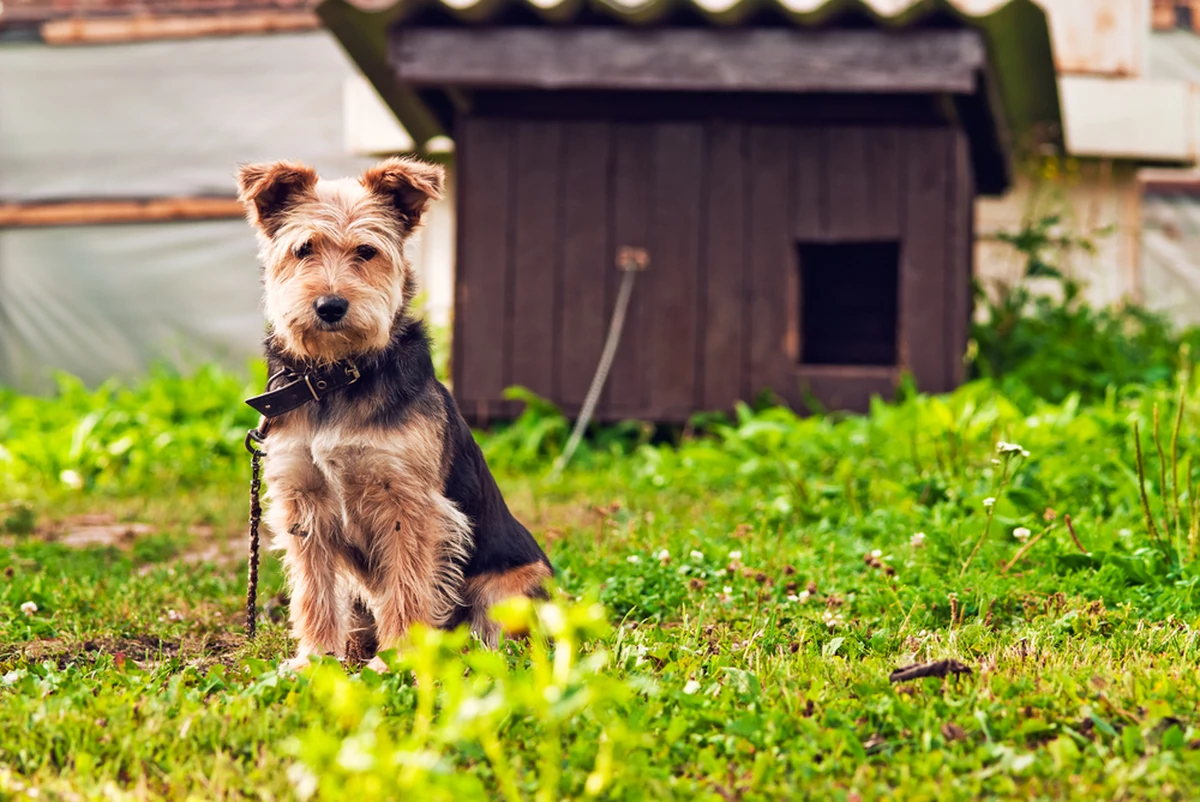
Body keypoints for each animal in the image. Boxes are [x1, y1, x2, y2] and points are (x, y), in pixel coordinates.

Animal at [235, 156, 552, 672]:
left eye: (366, 251)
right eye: (304, 248)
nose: (330, 306)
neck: (337, 377)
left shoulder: (409, 504)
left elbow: (407, 586)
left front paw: (399, 659)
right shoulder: (303, 503)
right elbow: (315, 590)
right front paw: (314, 660)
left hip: (510, 589)